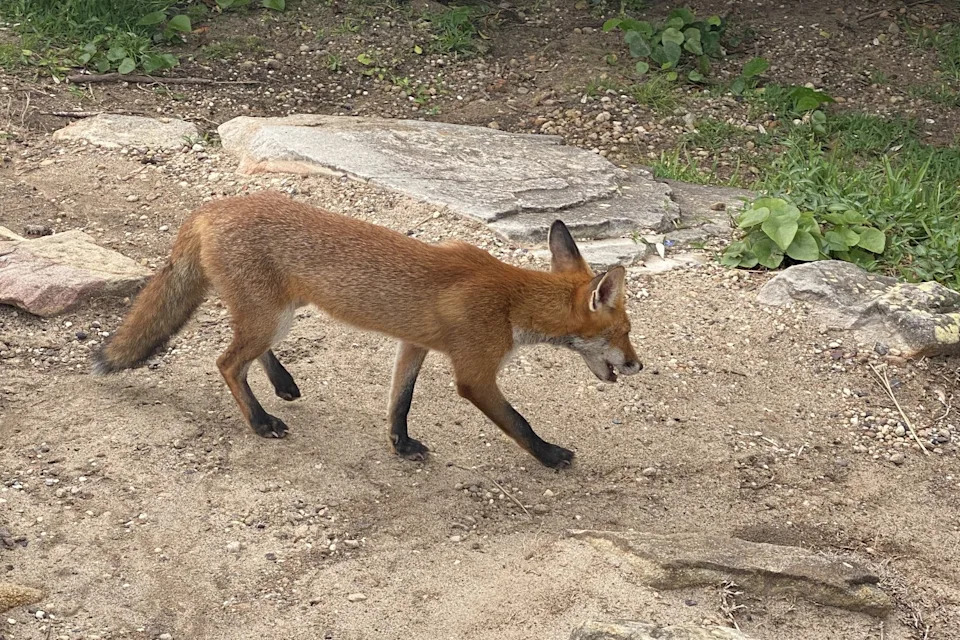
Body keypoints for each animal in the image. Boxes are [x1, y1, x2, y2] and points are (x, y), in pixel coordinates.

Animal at [92, 191, 642, 468]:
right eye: (624, 330)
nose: (639, 365)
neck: (509, 300)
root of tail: (209, 208)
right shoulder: (476, 374)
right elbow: (519, 422)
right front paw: (549, 456)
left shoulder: (414, 344)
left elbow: (401, 401)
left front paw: (400, 444)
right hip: (271, 318)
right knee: (227, 363)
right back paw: (261, 421)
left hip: (277, 315)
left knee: (249, 353)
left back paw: (282, 384)